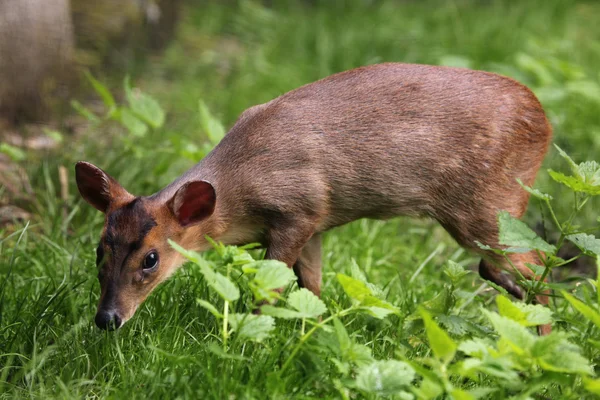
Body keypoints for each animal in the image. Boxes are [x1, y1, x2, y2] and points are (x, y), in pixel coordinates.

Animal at [76, 64, 552, 334]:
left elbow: (269, 288)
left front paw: (259, 336)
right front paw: (318, 336)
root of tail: (542, 117)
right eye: (100, 249)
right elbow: (314, 288)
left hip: (489, 204)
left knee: (537, 264)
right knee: (502, 267)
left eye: (151, 259)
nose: (107, 319)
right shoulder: (316, 223)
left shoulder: (297, 209)